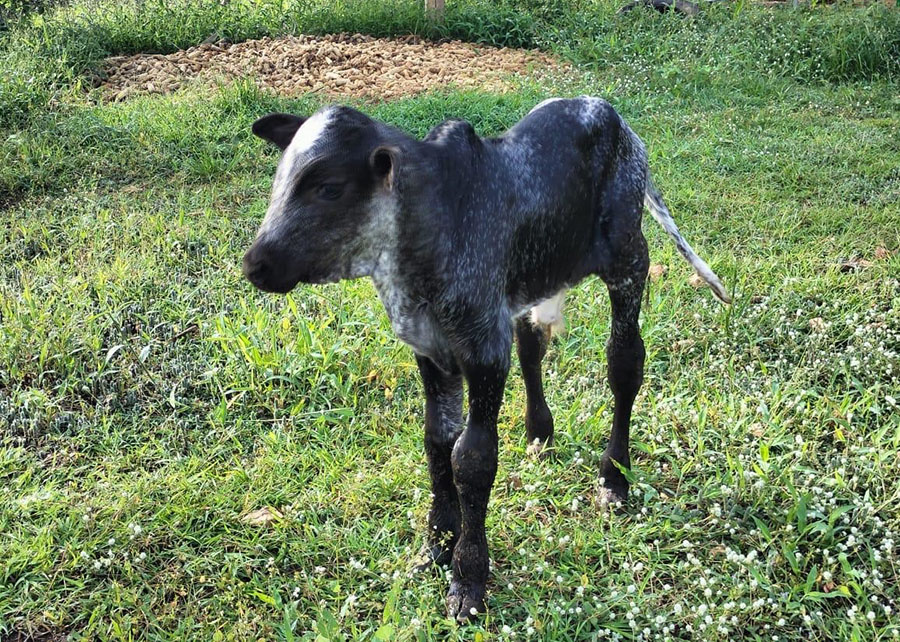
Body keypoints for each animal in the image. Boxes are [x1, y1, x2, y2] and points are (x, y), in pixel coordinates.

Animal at [243, 96, 728, 620]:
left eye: (329, 188)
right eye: (280, 181)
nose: (255, 264)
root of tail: (607, 111)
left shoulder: (485, 352)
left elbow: (472, 458)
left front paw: (468, 579)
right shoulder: (432, 350)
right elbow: (437, 440)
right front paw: (436, 545)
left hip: (629, 257)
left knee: (624, 363)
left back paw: (613, 479)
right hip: (543, 273)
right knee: (533, 340)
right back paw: (539, 433)